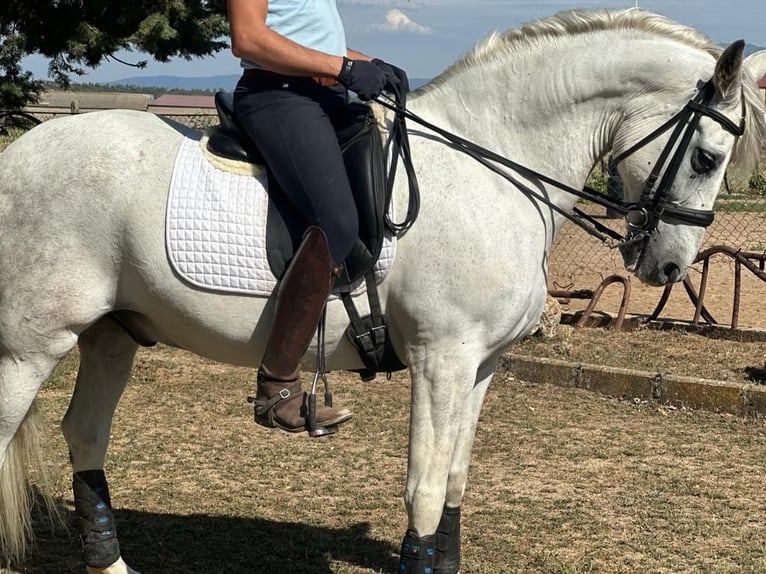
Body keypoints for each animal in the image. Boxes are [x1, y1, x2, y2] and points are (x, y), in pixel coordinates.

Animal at [1, 9, 766, 574]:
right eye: (707, 157)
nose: (669, 268)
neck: (492, 167)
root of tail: (18, 154)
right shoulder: (442, 359)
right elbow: (423, 489)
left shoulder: (480, 366)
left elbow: (454, 480)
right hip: (29, 347)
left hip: (110, 335)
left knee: (86, 435)